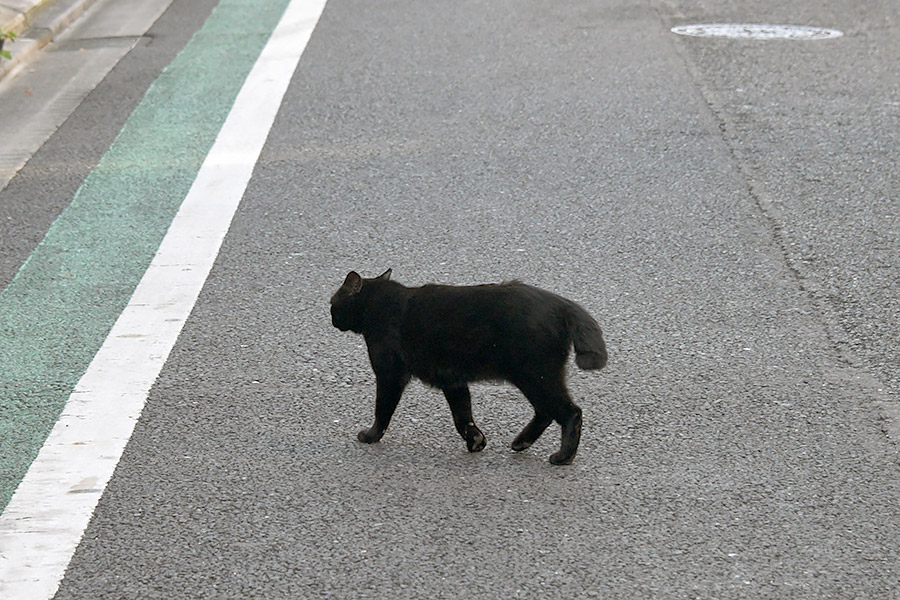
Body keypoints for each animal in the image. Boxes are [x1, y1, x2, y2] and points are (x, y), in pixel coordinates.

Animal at [326, 270, 608, 466]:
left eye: (332, 303)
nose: (331, 318)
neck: (380, 304)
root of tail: (561, 303)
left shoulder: (389, 374)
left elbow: (382, 410)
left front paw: (371, 435)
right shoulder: (452, 380)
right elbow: (463, 415)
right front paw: (476, 441)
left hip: (535, 375)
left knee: (570, 412)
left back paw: (562, 457)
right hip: (535, 378)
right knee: (545, 412)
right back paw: (521, 442)